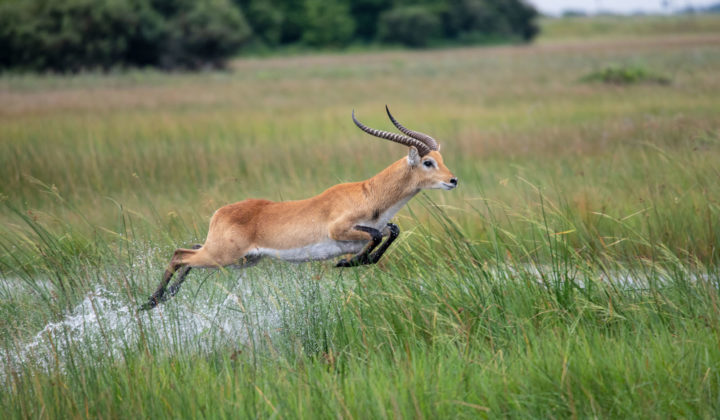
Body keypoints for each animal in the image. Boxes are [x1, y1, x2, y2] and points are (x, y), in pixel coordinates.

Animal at [142, 106, 458, 310]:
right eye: (428, 162)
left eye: (441, 159)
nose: (453, 180)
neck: (370, 195)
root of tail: (220, 212)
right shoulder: (340, 230)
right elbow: (378, 235)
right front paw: (346, 263)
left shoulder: (374, 229)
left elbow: (391, 232)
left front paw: (352, 262)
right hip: (222, 256)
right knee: (179, 254)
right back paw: (151, 302)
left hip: (240, 258)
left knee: (189, 252)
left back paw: (162, 298)